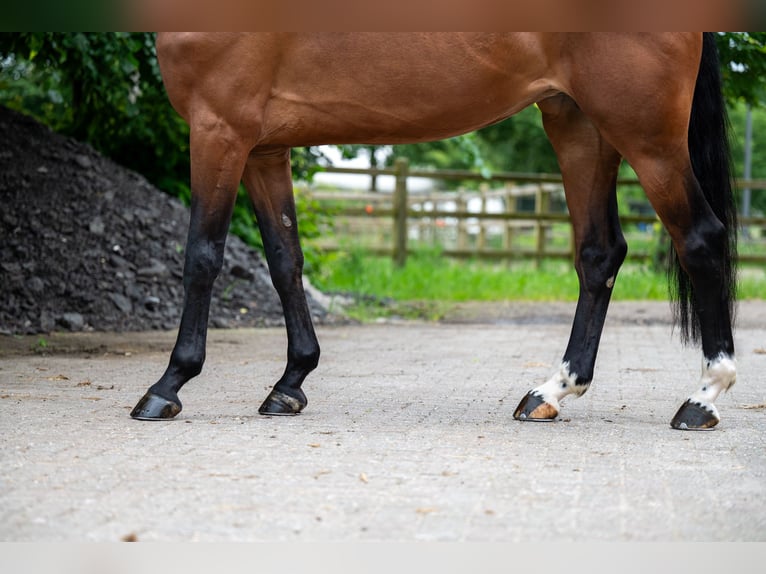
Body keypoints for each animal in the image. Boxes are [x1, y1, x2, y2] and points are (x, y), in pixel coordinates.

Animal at [130, 30, 736, 428]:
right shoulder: (264, 149)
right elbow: (285, 260)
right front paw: (291, 383)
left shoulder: (219, 128)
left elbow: (202, 256)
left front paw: (168, 385)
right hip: (580, 124)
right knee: (599, 254)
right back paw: (551, 392)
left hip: (645, 134)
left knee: (700, 240)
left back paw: (702, 399)